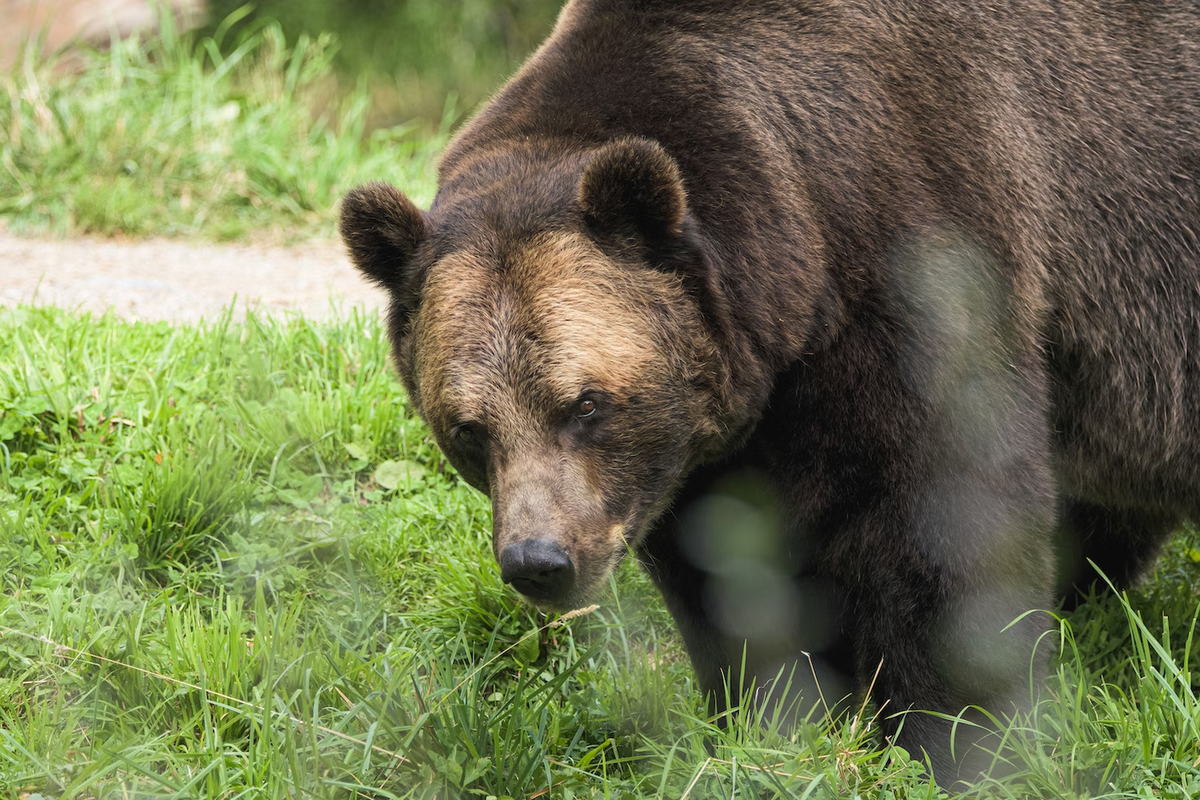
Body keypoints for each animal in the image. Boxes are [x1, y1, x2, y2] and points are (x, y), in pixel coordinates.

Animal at [336, 0, 1200, 786]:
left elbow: (940, 513)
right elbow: (728, 569)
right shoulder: (719, 434)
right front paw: (772, 718)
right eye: (468, 428)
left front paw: (955, 740)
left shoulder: (921, 248)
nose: (538, 561)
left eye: (586, 404)